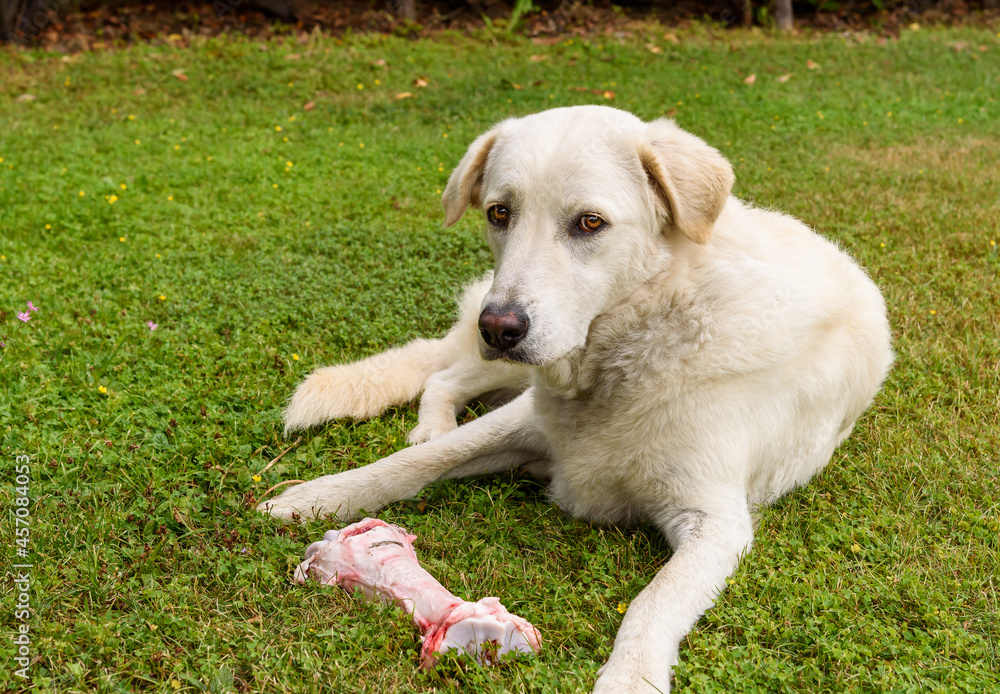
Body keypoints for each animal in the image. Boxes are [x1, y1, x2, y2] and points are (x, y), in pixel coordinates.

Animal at [262, 106, 896, 692]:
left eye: (590, 222)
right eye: (499, 213)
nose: (500, 327)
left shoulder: (715, 521)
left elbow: (654, 601)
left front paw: (630, 678)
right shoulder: (529, 421)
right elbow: (413, 463)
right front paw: (316, 498)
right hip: (505, 373)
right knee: (443, 380)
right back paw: (431, 424)